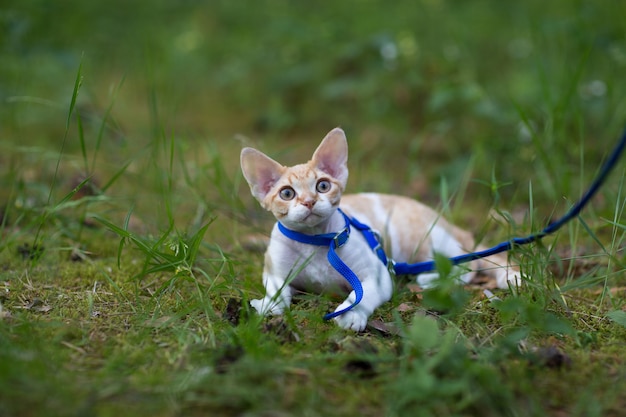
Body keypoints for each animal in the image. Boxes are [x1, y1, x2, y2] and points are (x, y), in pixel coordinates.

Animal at [241, 128, 520, 330]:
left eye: (323, 186)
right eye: (287, 193)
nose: (309, 201)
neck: (317, 241)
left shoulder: (378, 276)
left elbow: (362, 294)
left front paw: (352, 313)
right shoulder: (274, 271)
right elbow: (277, 288)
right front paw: (269, 304)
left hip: (428, 240)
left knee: (466, 263)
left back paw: (430, 278)